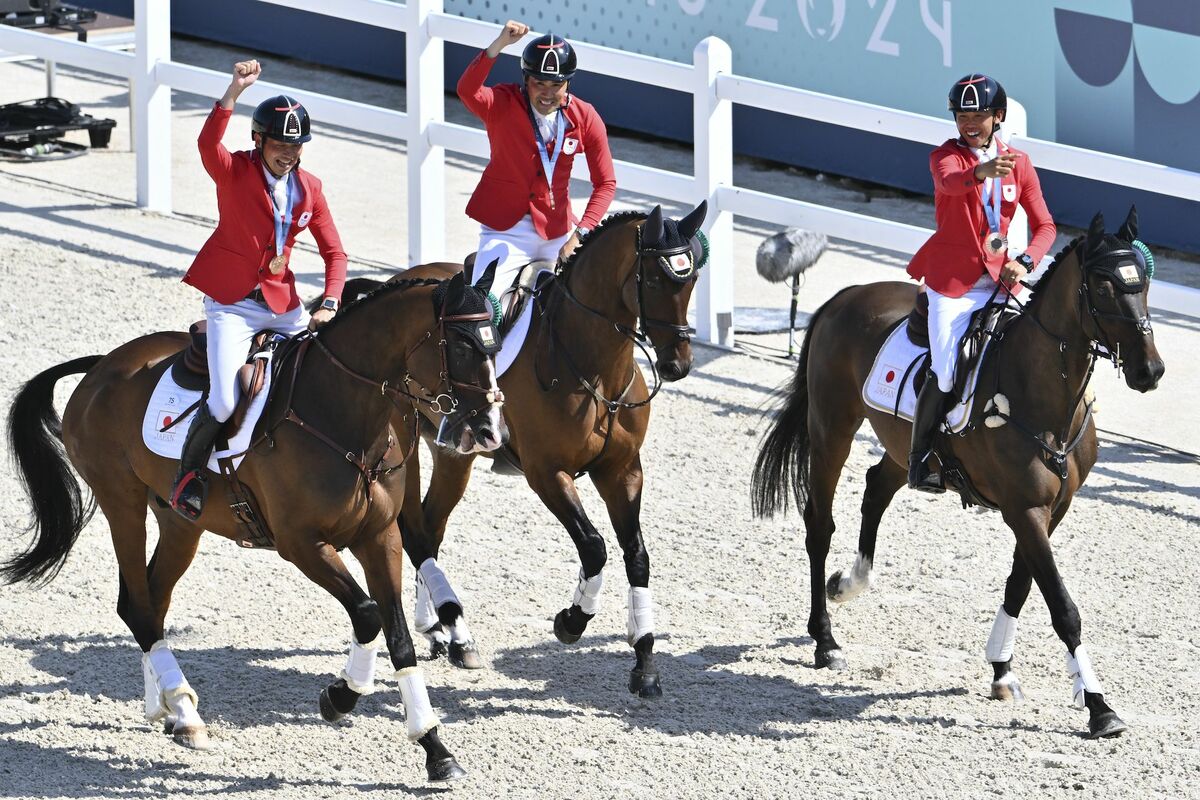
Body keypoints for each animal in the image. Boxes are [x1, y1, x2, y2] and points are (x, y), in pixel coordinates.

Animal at [4, 268, 504, 782]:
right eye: (462, 345)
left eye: (497, 342)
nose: (488, 431)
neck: (343, 417)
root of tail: (102, 366)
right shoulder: (302, 544)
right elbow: (367, 614)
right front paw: (340, 696)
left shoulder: (379, 537)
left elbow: (398, 638)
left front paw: (435, 749)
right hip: (121, 501)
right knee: (138, 607)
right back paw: (185, 711)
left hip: (180, 523)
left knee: (149, 602)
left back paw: (170, 711)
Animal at [748, 208, 1161, 738]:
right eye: (1105, 286)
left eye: (1144, 281)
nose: (1150, 371)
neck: (1040, 392)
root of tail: (848, 294)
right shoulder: (1024, 509)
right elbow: (1061, 606)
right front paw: (1098, 706)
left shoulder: (1050, 509)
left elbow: (1020, 585)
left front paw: (1002, 669)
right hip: (831, 428)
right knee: (820, 524)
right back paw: (826, 641)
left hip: (902, 445)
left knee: (876, 488)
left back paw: (850, 582)